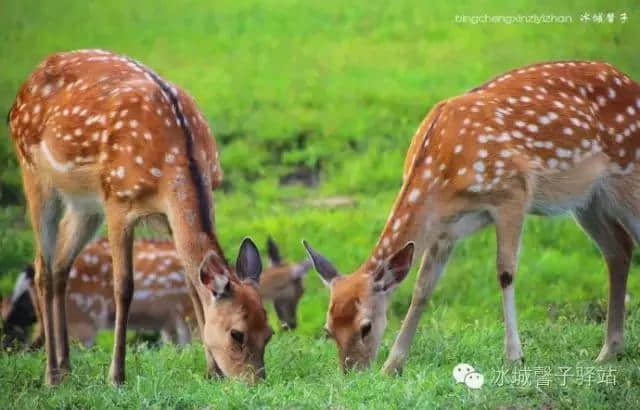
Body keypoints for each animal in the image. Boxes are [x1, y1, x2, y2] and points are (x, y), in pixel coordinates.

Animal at [0, 235, 310, 348]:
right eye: (300, 290)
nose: (292, 323)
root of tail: (31, 271)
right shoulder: (188, 316)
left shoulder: (168, 323)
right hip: (81, 319)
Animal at [8, 49, 272, 386]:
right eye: (236, 334)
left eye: (269, 333)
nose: (254, 381)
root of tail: (25, 85)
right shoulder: (118, 201)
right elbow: (124, 287)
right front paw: (116, 376)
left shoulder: (169, 215)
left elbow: (191, 282)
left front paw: (211, 371)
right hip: (34, 172)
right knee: (42, 266)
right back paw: (51, 374)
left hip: (85, 205)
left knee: (60, 265)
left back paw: (66, 367)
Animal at [304, 60, 640, 374]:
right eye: (328, 329)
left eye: (366, 326)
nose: (353, 372)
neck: (444, 173)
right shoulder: (445, 227)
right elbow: (422, 288)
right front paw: (393, 365)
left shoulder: (512, 192)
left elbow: (505, 272)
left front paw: (514, 357)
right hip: (587, 200)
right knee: (619, 249)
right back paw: (608, 351)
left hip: (626, 178)